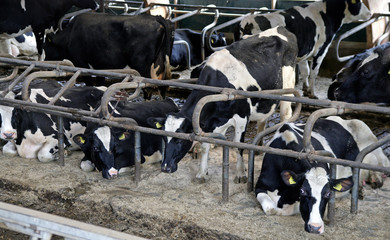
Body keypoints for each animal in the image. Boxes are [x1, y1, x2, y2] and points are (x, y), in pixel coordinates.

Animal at [43, 12, 175, 97]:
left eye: (46, 46)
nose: (45, 63)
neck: (69, 34)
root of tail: (156, 18)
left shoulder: (81, 63)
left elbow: (89, 83)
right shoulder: (100, 66)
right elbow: (100, 83)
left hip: (142, 65)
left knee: (148, 88)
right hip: (161, 64)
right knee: (162, 88)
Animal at [148, 26, 298, 182]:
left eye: (180, 141)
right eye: (164, 137)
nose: (165, 168)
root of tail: (281, 28)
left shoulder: (241, 118)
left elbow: (238, 146)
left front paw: (241, 173)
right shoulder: (208, 122)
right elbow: (205, 146)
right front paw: (202, 172)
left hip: (287, 88)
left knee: (286, 115)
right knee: (263, 119)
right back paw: (259, 145)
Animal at [238, 0, 372, 98]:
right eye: (358, 2)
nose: (370, 13)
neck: (326, 14)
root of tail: (247, 21)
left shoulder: (305, 52)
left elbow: (305, 71)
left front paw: (305, 90)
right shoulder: (320, 50)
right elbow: (313, 73)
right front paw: (312, 93)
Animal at [256, 116, 390, 234]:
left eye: (328, 194)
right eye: (302, 191)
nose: (315, 228)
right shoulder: (260, 185)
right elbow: (270, 209)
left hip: (375, 151)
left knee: (380, 166)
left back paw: (374, 181)